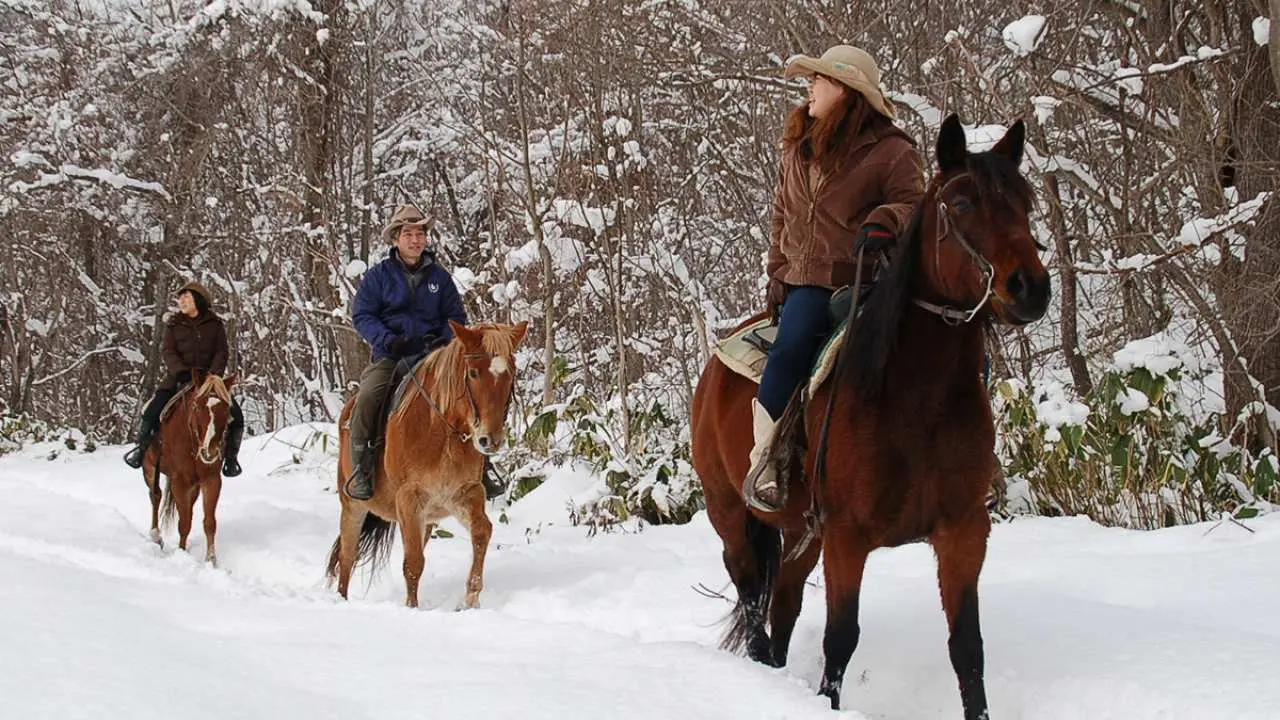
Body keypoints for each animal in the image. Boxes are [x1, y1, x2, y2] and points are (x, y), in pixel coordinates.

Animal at [143, 370, 238, 567]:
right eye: (197, 407)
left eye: (226, 409)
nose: (210, 452)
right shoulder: (179, 481)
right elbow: (184, 522)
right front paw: (181, 552)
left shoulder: (211, 480)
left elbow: (209, 523)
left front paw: (211, 560)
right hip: (150, 468)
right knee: (155, 495)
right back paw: (156, 536)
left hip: (194, 486)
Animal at [326, 320, 528, 609]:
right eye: (473, 373)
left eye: (510, 374)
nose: (491, 440)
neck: (442, 433)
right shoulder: (409, 498)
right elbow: (412, 564)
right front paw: (412, 609)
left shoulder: (465, 493)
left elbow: (481, 532)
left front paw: (470, 599)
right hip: (353, 505)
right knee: (347, 557)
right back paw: (341, 600)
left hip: (427, 518)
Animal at [690, 114, 1049, 719]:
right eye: (962, 203)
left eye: (1025, 202)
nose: (1030, 288)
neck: (917, 401)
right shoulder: (847, 535)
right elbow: (841, 639)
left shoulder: (963, 530)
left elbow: (967, 647)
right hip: (730, 512)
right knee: (749, 593)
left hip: (802, 532)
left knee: (782, 599)